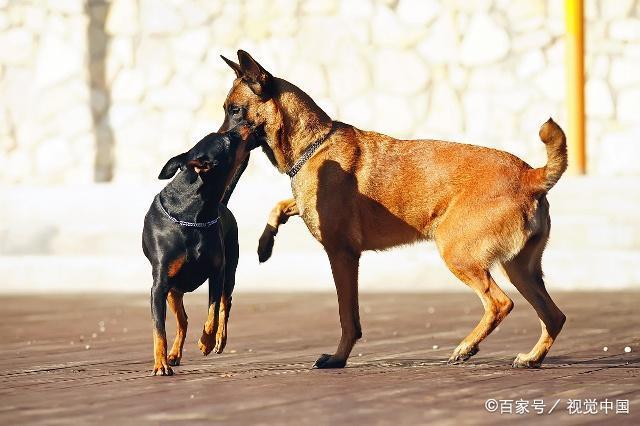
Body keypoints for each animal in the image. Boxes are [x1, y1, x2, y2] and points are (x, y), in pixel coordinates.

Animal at [144, 124, 256, 376]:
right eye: (229, 138)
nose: (246, 124)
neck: (193, 215)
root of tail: (223, 204)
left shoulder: (217, 272)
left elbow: (212, 312)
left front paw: (206, 341)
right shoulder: (160, 285)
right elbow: (158, 330)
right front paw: (160, 363)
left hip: (230, 271)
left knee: (225, 303)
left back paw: (219, 340)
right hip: (173, 291)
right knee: (183, 320)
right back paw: (173, 355)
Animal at [219, 50, 564, 370]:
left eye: (235, 110)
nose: (219, 143)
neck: (314, 143)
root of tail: (531, 176)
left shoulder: (342, 256)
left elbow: (347, 316)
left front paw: (338, 358)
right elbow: (280, 206)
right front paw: (265, 244)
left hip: (459, 255)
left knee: (500, 303)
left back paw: (467, 346)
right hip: (520, 270)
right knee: (554, 317)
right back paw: (531, 357)